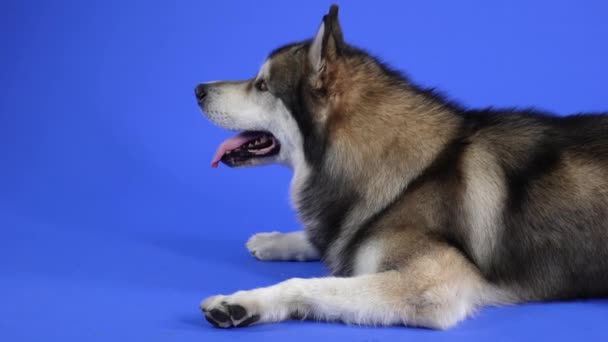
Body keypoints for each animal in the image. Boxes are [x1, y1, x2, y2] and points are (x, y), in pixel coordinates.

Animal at [195, 4, 608, 328]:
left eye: (262, 85)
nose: (198, 90)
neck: (410, 175)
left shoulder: (430, 284)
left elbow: (306, 283)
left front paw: (243, 302)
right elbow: (331, 240)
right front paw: (275, 240)